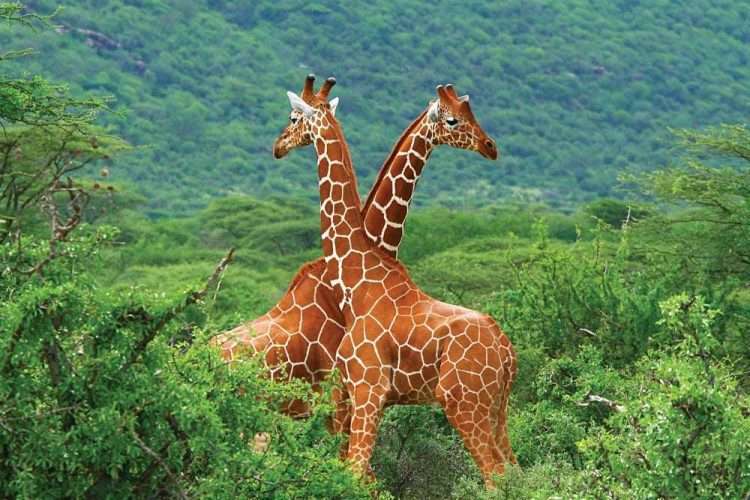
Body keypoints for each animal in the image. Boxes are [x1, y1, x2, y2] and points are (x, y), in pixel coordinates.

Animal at [272, 75, 517, 486]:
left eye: (293, 117)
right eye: (454, 118)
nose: (277, 146)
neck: (357, 279)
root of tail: (507, 352)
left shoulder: (367, 388)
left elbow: (355, 473)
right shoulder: (355, 395)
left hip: (464, 402)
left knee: (497, 475)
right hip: (497, 409)